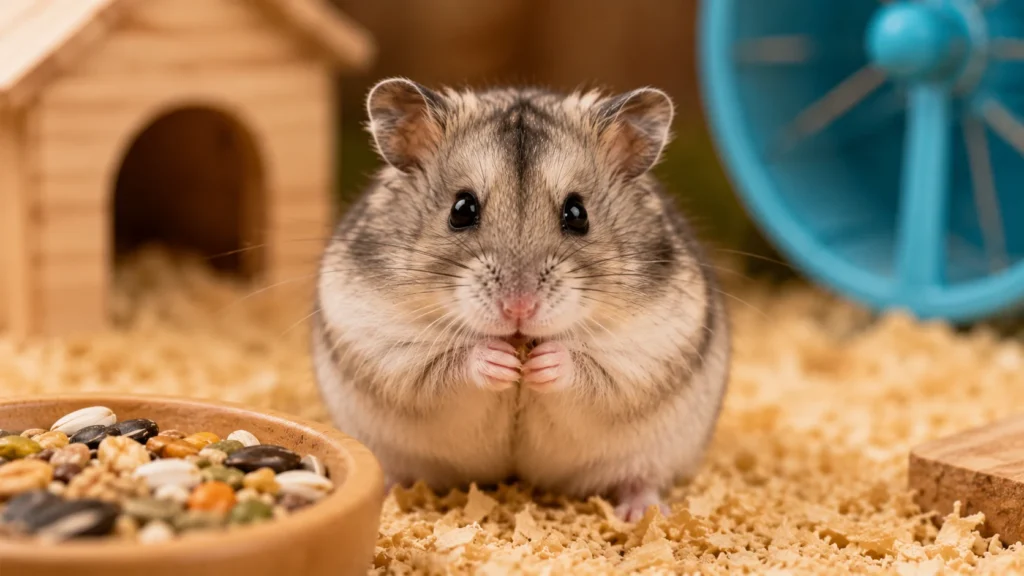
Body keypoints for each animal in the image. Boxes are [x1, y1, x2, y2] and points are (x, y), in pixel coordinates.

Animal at [311, 77, 730, 521]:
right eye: (461, 209)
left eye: (577, 213)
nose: (519, 309)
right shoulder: (381, 342)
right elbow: (442, 364)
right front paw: (499, 361)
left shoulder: (646, 352)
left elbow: (593, 369)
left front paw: (543, 363)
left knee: (640, 479)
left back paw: (643, 513)